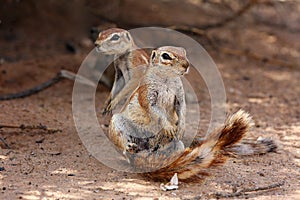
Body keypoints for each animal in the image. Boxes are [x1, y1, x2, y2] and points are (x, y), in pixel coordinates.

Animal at [106, 46, 276, 182]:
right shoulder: (147, 94)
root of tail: (144, 152)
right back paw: (130, 147)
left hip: (175, 144)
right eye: (166, 56)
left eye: (184, 52)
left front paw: (180, 126)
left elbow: (182, 109)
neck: (167, 79)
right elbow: (154, 110)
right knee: (123, 143)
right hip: (118, 123)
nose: (186, 65)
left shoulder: (179, 95)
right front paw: (168, 126)